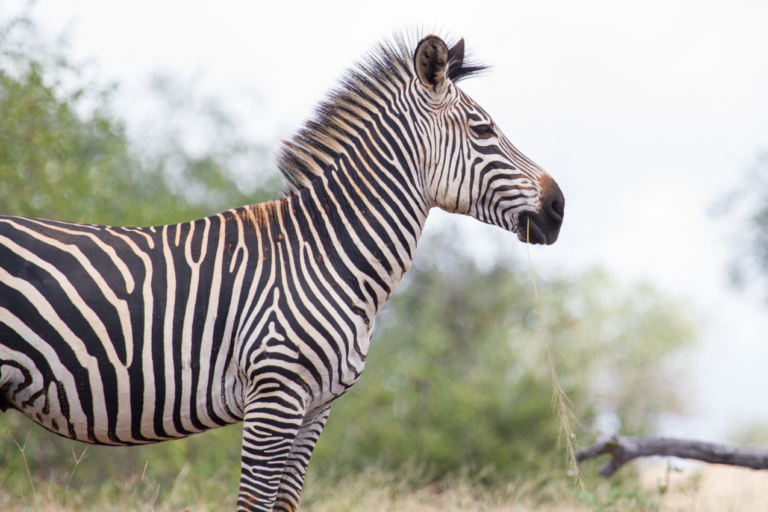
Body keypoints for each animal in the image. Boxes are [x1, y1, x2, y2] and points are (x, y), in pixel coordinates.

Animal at [0, 34, 564, 510]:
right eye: (484, 130)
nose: (559, 207)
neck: (326, 256)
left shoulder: (316, 408)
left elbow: (286, 504)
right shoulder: (275, 395)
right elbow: (254, 505)